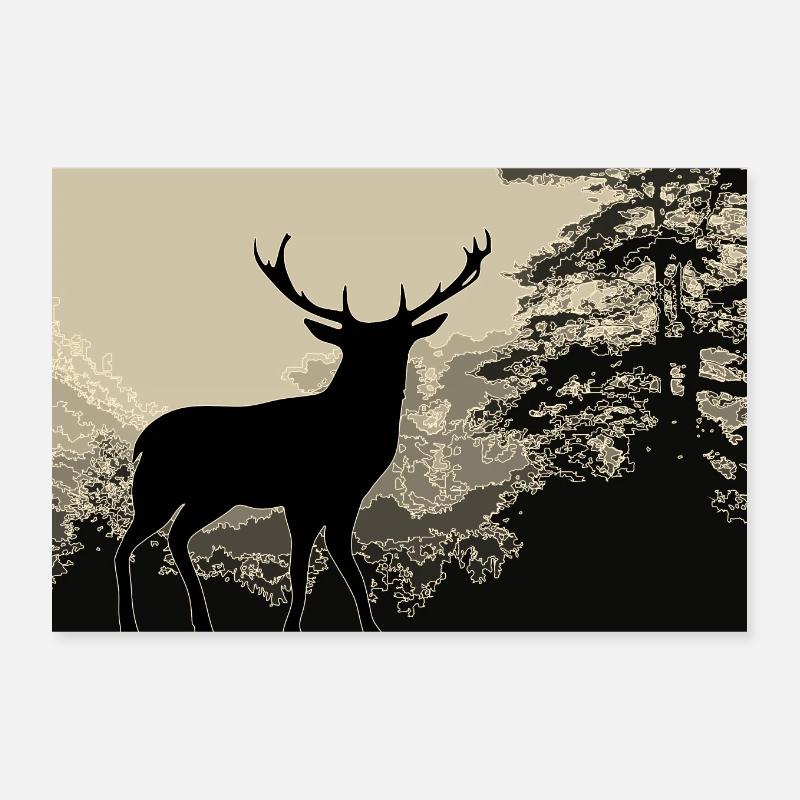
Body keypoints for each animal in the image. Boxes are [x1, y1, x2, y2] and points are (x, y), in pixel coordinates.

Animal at [115, 230, 492, 632]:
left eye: (400, 342)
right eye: (353, 346)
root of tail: (143, 442)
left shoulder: (347, 499)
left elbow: (349, 569)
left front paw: (370, 626)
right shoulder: (301, 498)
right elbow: (299, 571)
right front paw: (291, 626)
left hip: (211, 496)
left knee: (176, 536)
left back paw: (202, 621)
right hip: (159, 488)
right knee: (127, 546)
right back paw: (130, 622)